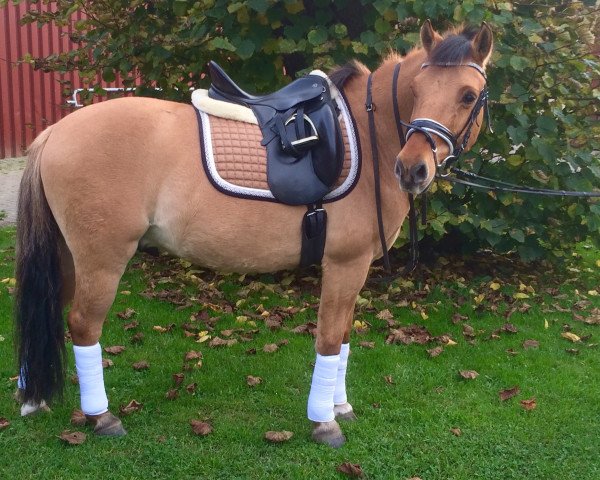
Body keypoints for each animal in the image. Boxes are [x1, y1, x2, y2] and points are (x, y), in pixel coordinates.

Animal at [15, 20, 492, 448]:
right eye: (418, 90)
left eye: (468, 95)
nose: (412, 169)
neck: (366, 137)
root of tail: (55, 132)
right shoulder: (345, 264)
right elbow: (329, 337)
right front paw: (323, 422)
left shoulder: (355, 269)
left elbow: (344, 337)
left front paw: (340, 407)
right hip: (102, 259)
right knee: (83, 324)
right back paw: (101, 416)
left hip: (68, 255)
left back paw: (32, 398)